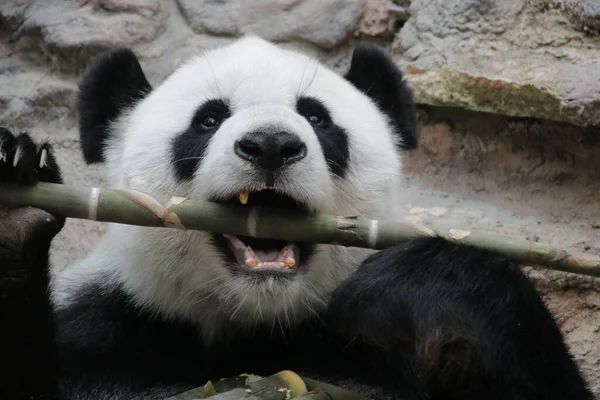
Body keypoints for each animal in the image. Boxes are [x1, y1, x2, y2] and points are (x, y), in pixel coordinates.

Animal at [0, 36, 596, 398]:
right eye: (208, 119)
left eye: (317, 117)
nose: (270, 144)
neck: (261, 324)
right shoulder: (111, 335)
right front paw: (15, 205)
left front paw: (424, 281)